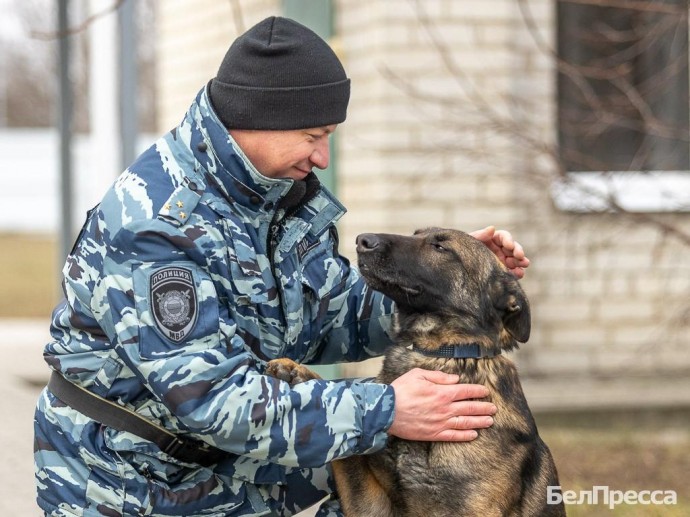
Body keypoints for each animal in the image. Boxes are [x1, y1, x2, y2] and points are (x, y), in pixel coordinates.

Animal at [266, 228, 560, 512]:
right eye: (416, 234)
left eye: (440, 247)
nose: (363, 240)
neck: (446, 352)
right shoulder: (369, 502)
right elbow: (346, 451)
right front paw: (297, 371)